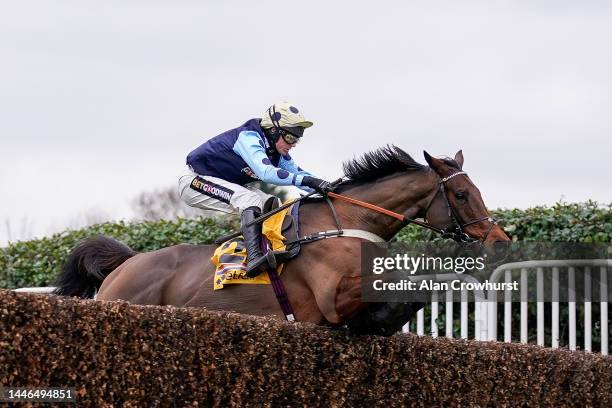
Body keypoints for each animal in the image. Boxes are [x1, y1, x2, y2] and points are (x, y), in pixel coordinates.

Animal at [55, 147, 510, 334]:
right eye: (462, 194)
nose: (500, 241)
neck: (347, 220)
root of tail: (124, 265)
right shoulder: (332, 294)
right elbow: (405, 287)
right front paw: (374, 321)